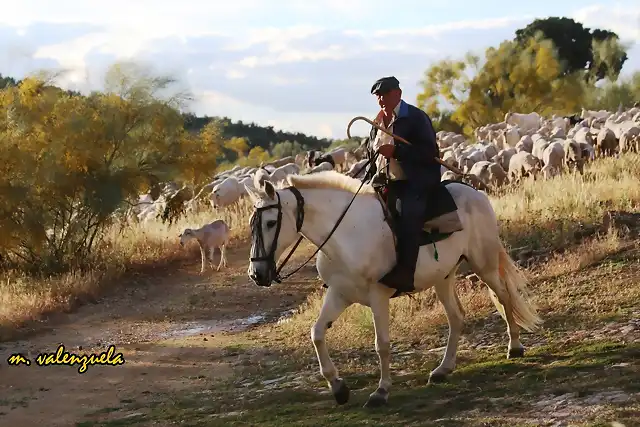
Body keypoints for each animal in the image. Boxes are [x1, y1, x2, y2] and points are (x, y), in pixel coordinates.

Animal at [242, 172, 544, 410]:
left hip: (484, 264)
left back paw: (515, 347)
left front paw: (381, 391)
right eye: (251, 225)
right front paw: (338, 388)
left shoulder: (378, 296)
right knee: (457, 317)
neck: (346, 235)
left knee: (504, 296)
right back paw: (443, 369)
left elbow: (382, 345)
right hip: (444, 277)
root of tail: (475, 192)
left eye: (270, 223)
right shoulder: (339, 294)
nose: (257, 275)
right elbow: (317, 334)